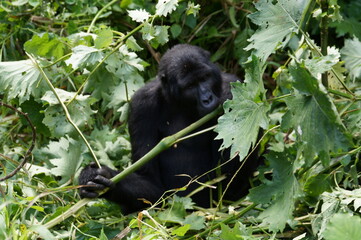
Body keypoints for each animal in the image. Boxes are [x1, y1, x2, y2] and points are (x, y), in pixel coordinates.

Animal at [79, 44, 258, 213]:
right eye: (190, 86)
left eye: (205, 78)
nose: (208, 99)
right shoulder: (142, 104)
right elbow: (151, 183)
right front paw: (99, 177)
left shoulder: (235, 84)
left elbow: (223, 181)